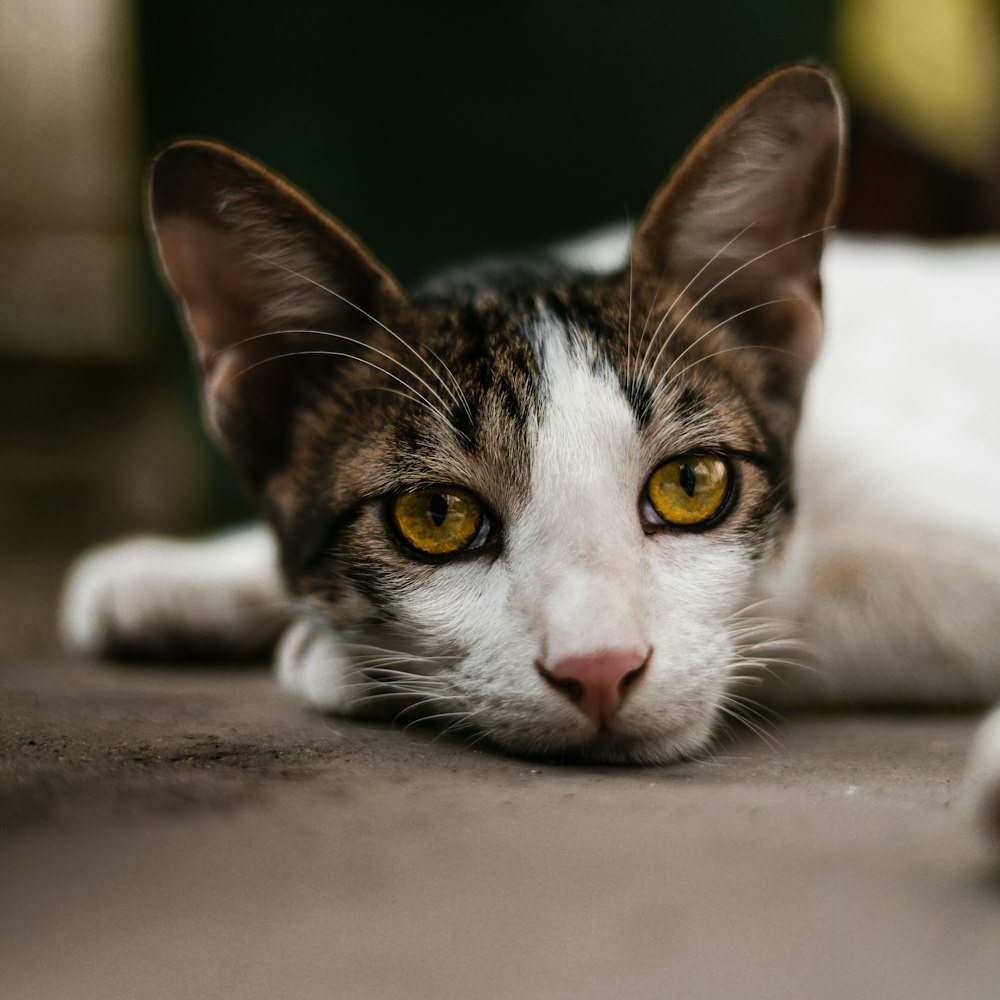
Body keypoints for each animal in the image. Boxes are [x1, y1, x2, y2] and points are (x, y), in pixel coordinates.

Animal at [56, 62, 1000, 844]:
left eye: (693, 484)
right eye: (436, 515)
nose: (599, 670)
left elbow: (817, 597)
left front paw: (333, 658)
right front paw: (182, 575)